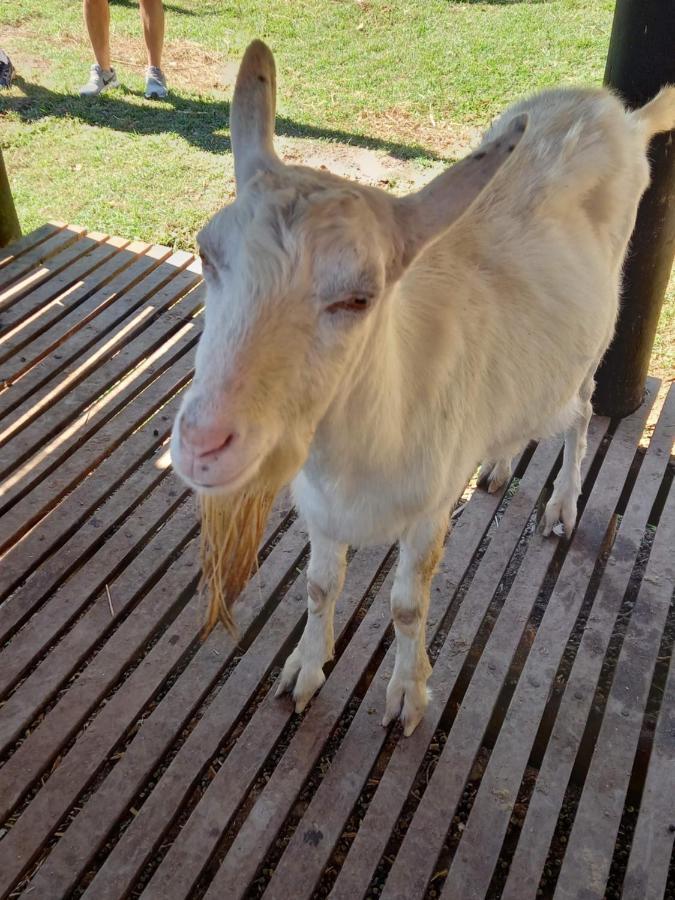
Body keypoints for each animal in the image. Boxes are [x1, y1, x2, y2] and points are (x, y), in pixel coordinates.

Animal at [170, 38, 675, 736]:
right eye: (206, 252)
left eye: (360, 297)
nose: (202, 444)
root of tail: (617, 112)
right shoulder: (319, 508)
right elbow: (318, 587)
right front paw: (304, 671)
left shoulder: (430, 508)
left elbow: (408, 605)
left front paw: (407, 697)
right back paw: (497, 465)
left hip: (594, 335)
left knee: (578, 413)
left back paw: (562, 509)